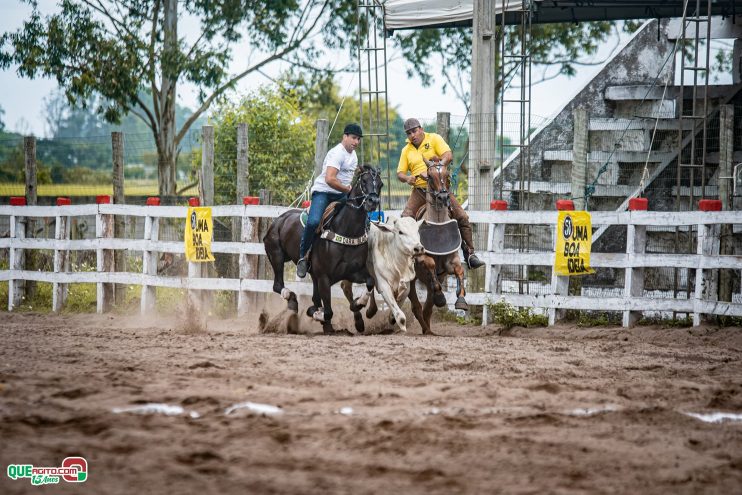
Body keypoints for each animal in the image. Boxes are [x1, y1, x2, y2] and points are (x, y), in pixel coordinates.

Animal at [264, 166, 384, 334]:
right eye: (364, 181)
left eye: (380, 184)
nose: (373, 201)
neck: (347, 231)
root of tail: (279, 220)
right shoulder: (324, 277)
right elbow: (327, 311)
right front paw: (316, 314)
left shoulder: (352, 272)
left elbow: (370, 281)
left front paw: (359, 304)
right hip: (277, 256)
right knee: (277, 285)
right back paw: (293, 301)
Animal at [410, 159, 468, 336]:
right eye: (429, 176)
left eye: (447, 174)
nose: (443, 196)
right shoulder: (423, 259)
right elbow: (430, 263)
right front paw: (442, 297)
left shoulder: (450, 261)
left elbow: (459, 270)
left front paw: (461, 300)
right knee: (416, 307)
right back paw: (426, 328)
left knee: (428, 308)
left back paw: (429, 329)